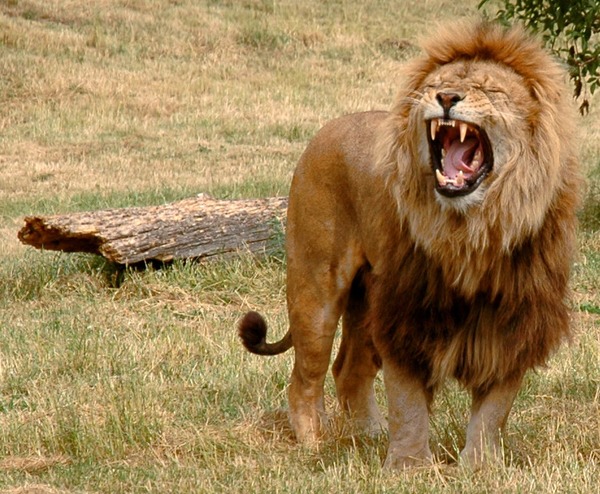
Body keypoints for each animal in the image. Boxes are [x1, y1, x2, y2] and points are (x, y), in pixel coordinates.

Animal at [239, 21, 580, 468]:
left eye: (488, 89)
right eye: (436, 84)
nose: (447, 98)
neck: (472, 230)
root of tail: (330, 127)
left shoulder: (514, 318)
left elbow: (494, 409)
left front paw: (480, 468)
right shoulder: (406, 311)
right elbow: (408, 403)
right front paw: (408, 467)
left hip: (366, 298)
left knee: (348, 370)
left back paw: (368, 435)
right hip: (315, 287)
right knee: (305, 377)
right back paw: (316, 444)